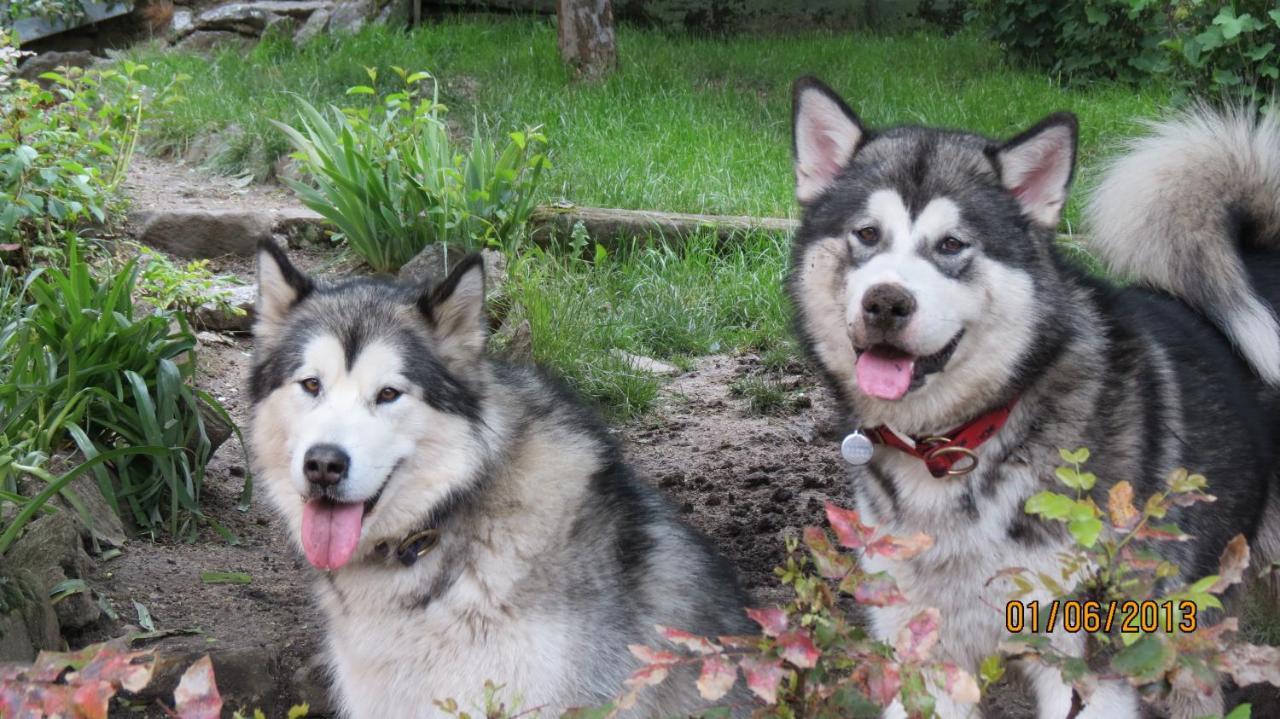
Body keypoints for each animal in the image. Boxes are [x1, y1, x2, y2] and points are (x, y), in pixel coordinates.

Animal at [783, 74, 1280, 716]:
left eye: (952, 245)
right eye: (867, 234)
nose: (886, 302)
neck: (955, 446)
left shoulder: (1089, 662)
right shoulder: (925, 654)